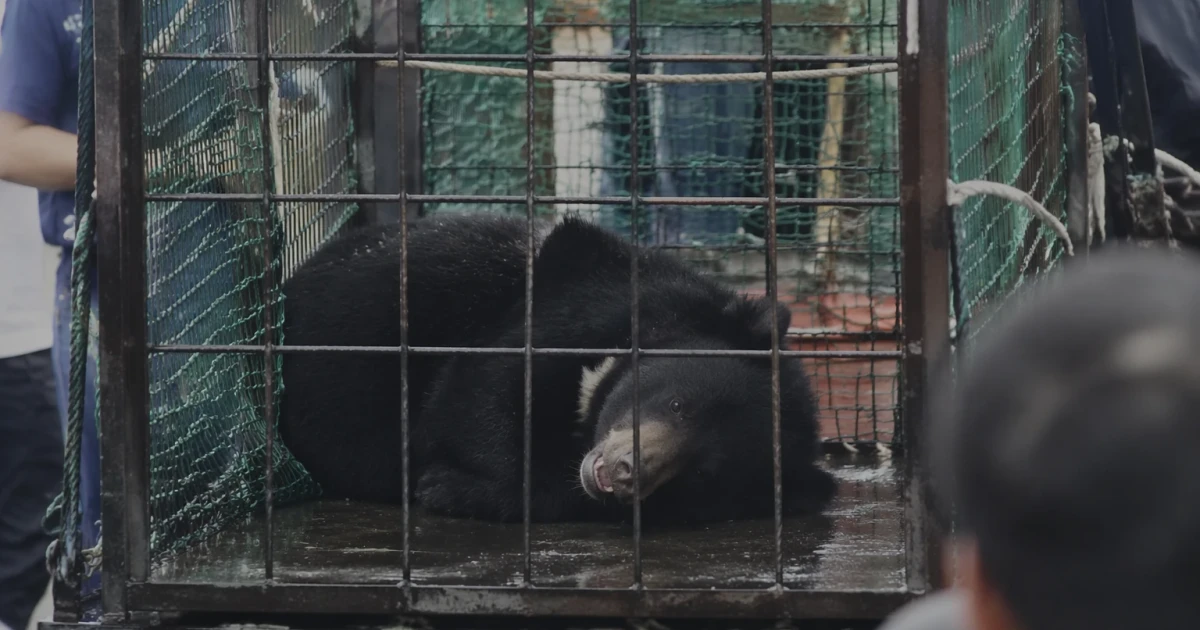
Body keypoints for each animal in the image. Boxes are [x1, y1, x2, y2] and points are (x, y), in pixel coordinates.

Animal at [278, 213, 837, 525]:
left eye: (702, 475)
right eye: (678, 404)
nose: (624, 472)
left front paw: (453, 489)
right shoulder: (583, 292)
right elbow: (482, 388)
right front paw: (442, 480)